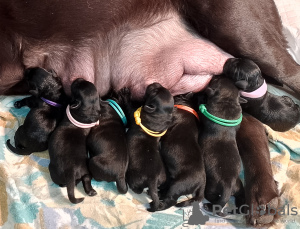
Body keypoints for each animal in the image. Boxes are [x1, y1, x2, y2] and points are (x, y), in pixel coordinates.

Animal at [126, 82, 173, 211]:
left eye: (154, 92)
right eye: (159, 88)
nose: (154, 83)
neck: (159, 115)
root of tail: (153, 179)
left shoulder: (134, 114)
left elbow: (129, 107)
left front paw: (125, 94)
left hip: (135, 178)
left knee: (137, 188)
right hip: (162, 178)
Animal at [197, 77, 246, 215]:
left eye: (215, 80)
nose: (215, 76)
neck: (227, 99)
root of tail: (228, 185)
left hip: (211, 188)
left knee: (214, 199)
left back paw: (209, 206)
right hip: (238, 185)